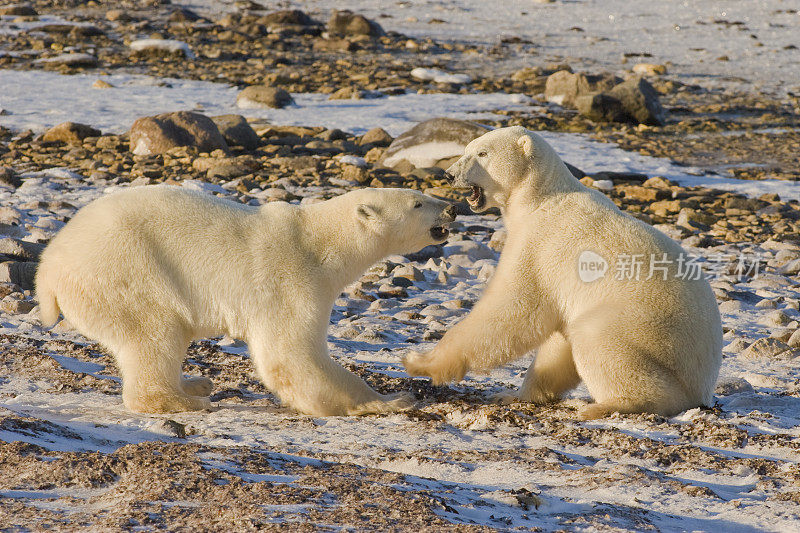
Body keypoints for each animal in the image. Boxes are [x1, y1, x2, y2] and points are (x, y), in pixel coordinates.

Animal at [36, 186, 456, 416]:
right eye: (418, 203)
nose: (453, 207)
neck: (321, 242)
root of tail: (48, 267)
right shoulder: (291, 279)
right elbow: (290, 353)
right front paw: (390, 400)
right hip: (126, 271)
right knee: (155, 331)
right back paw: (185, 401)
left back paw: (194, 384)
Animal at [404, 125, 720, 420]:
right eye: (467, 149)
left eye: (482, 153)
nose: (448, 175)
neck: (541, 198)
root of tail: (704, 382)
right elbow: (556, 341)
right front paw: (513, 394)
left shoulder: (541, 245)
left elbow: (513, 309)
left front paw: (420, 361)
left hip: (650, 328)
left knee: (597, 338)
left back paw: (607, 405)